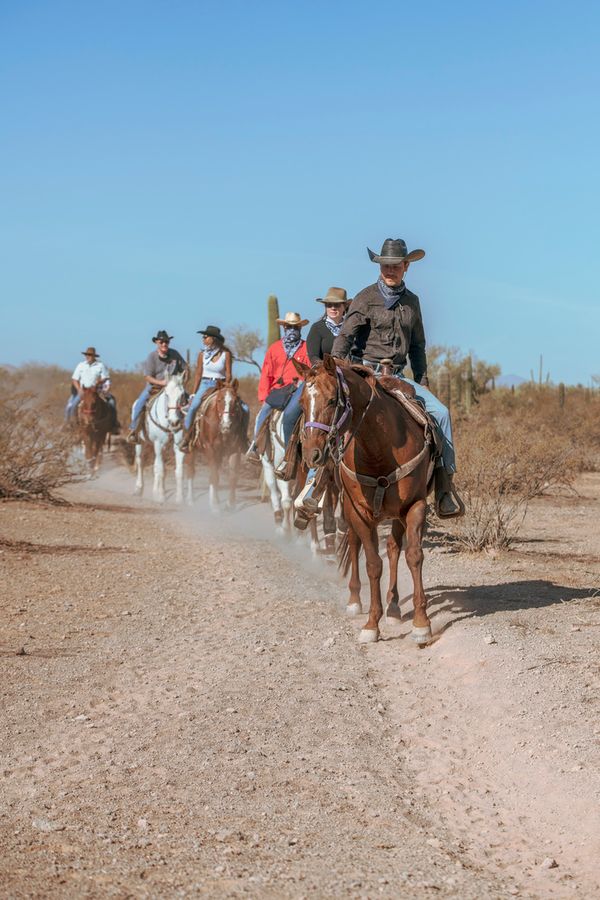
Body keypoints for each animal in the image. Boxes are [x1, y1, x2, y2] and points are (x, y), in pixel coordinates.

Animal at [133, 370, 190, 502]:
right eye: (167, 395)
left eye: (182, 395)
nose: (174, 422)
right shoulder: (158, 444)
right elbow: (161, 470)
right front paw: (160, 497)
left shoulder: (177, 445)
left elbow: (178, 472)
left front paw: (179, 498)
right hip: (140, 443)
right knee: (140, 462)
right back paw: (139, 489)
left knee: (156, 466)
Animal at [190, 378, 246, 510]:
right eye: (220, 400)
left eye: (236, 401)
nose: (226, 425)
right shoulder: (210, 449)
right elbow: (215, 476)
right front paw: (215, 506)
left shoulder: (235, 450)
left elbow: (232, 477)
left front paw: (230, 504)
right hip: (192, 450)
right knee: (191, 471)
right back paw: (190, 499)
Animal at [292, 354, 434, 648]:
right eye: (302, 403)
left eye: (332, 400)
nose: (312, 455)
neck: (379, 449)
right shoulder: (359, 512)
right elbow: (372, 564)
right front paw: (371, 624)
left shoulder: (414, 506)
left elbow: (413, 556)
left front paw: (421, 624)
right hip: (349, 509)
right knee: (356, 544)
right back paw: (355, 600)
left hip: (395, 515)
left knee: (393, 548)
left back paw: (394, 607)